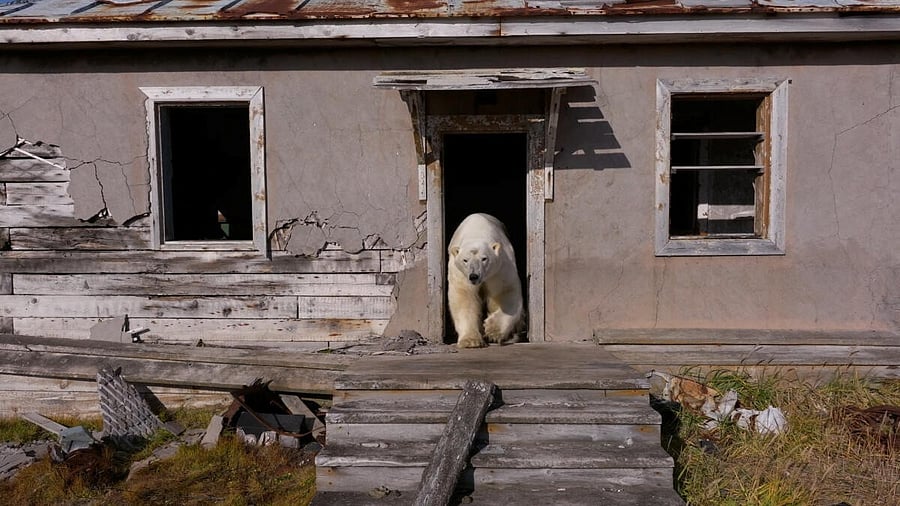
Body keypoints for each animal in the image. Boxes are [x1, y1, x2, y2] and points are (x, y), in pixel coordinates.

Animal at [447, 213, 524, 348]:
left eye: (484, 258)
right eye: (465, 260)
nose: (474, 276)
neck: (477, 232)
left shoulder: (500, 268)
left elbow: (506, 292)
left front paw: (492, 330)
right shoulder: (460, 274)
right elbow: (464, 297)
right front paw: (470, 341)